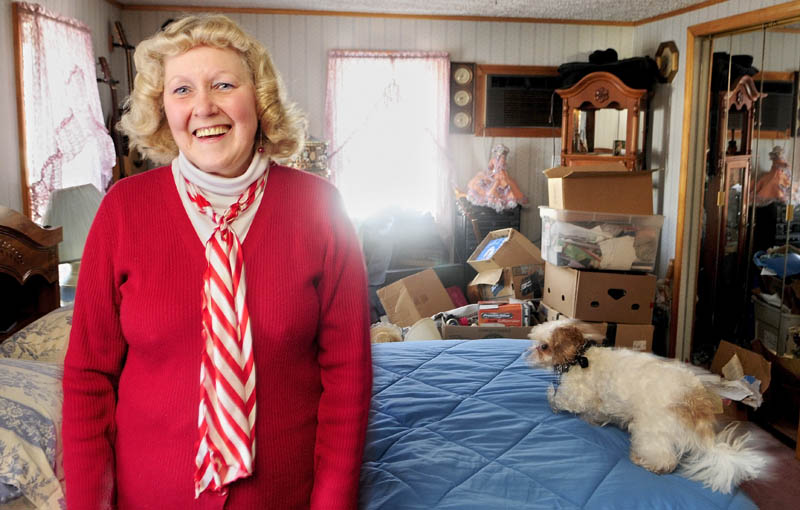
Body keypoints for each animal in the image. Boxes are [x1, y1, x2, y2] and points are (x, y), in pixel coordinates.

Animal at [524, 320, 768, 492]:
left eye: (543, 346)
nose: (527, 354)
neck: (581, 357)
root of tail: (696, 407)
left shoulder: (577, 395)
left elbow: (557, 398)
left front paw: (551, 397)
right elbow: (595, 412)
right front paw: (592, 419)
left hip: (650, 432)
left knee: (666, 461)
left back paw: (643, 461)